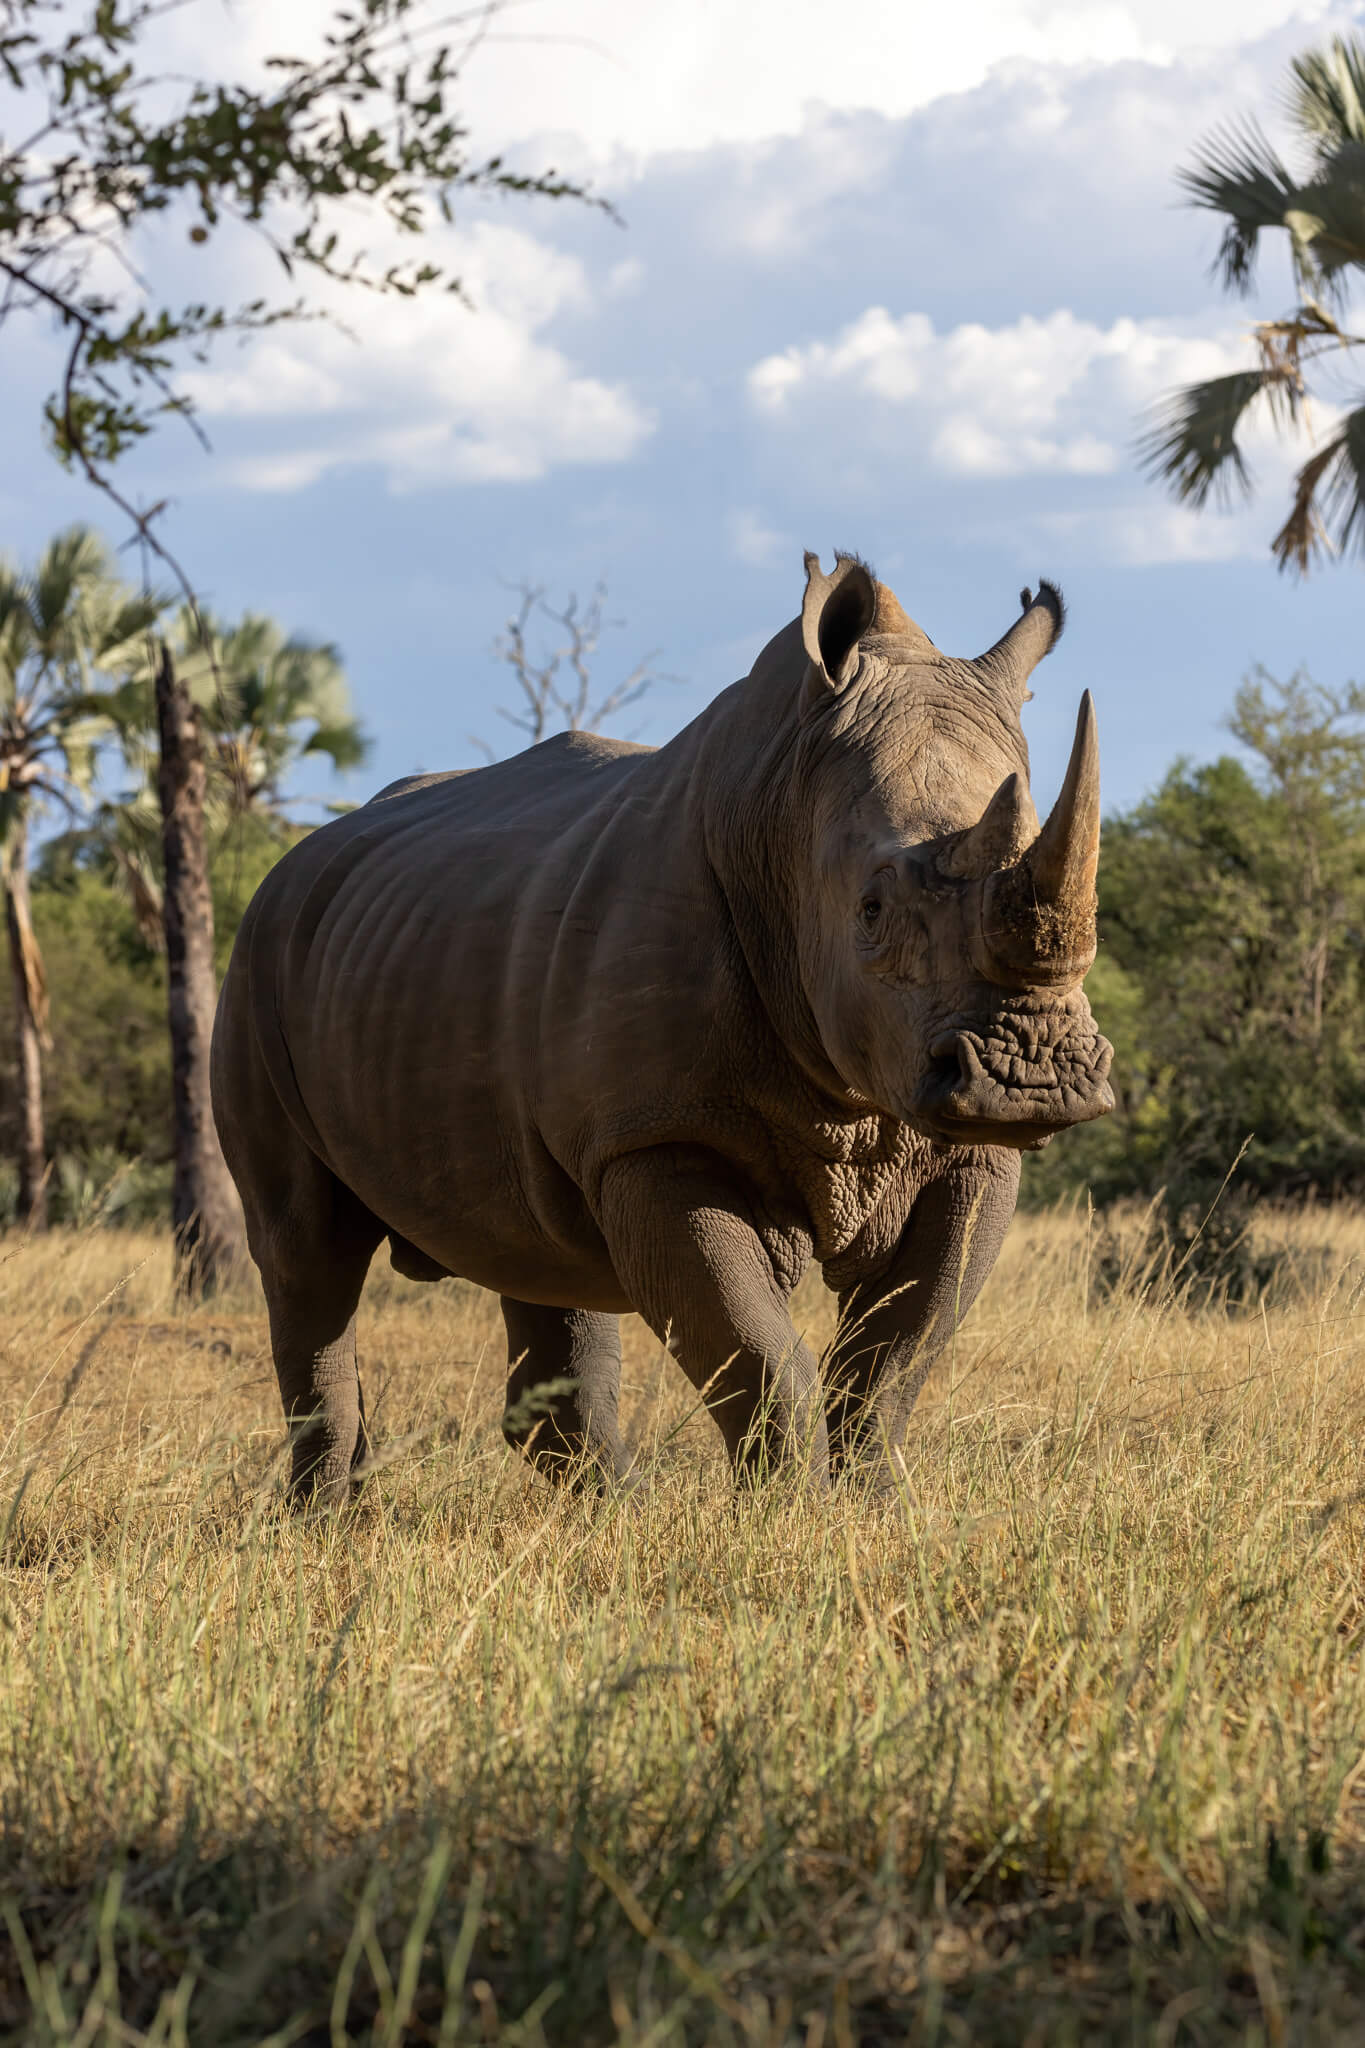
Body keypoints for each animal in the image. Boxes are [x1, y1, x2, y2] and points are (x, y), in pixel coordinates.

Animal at [211, 552, 1113, 1503]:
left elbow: (895, 1354)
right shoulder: (655, 1136)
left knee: (540, 1254)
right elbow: (759, 1355)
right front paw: (789, 1514)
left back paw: (609, 1511)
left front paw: (868, 1508)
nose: (1032, 1078)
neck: (780, 804)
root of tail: (297, 858)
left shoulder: (961, 1147)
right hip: (257, 961)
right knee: (306, 1252)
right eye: (870, 909)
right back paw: (329, 1519)